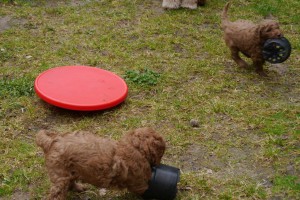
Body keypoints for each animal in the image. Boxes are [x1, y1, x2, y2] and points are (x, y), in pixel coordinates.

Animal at [36, 127, 166, 199]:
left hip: (69, 171)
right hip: (60, 175)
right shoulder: (140, 182)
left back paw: (79, 187)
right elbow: (142, 188)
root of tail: (51, 141)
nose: (157, 165)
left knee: (70, 182)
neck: (134, 146)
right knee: (56, 194)